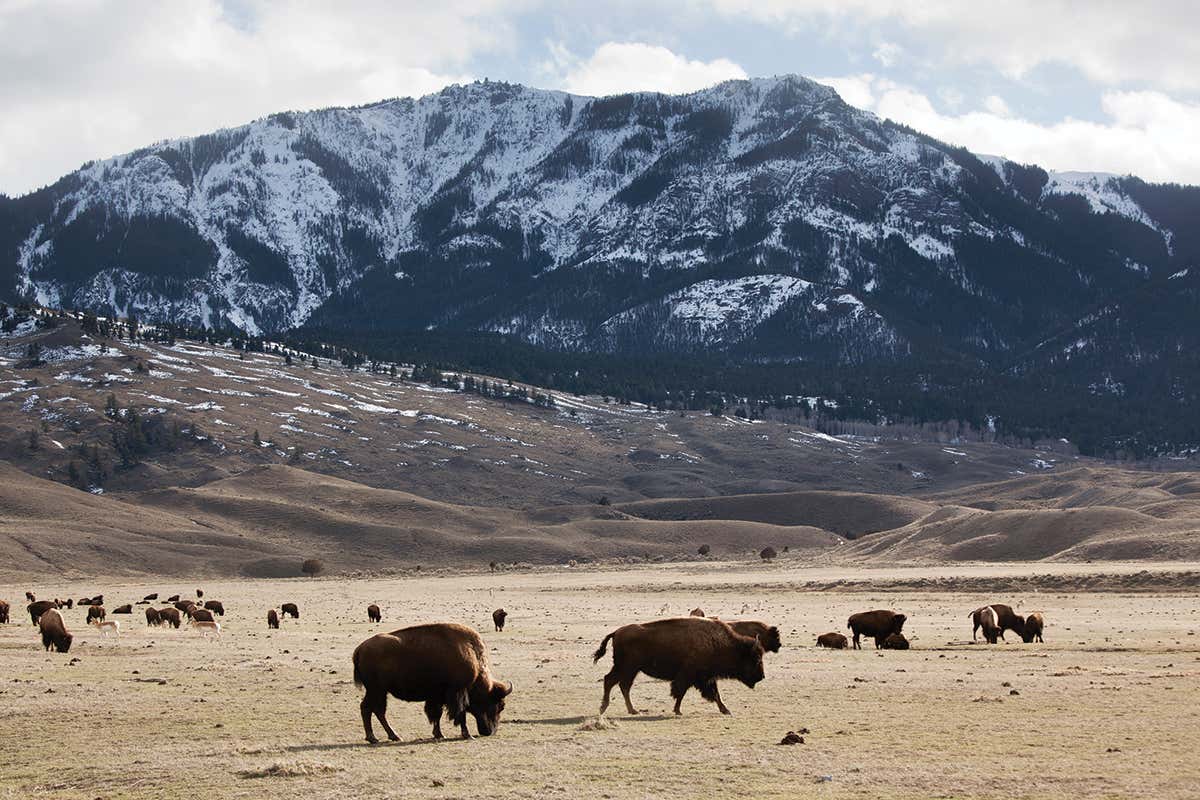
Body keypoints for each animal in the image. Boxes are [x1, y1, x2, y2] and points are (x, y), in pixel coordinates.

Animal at [352, 622, 513, 743]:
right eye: (500, 705)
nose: (490, 731)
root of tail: (360, 649)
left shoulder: (437, 696)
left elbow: (437, 714)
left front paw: (439, 734)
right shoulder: (458, 693)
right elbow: (460, 714)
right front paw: (467, 735)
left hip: (379, 691)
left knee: (376, 710)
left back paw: (390, 736)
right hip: (376, 690)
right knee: (369, 708)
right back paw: (376, 737)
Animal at [594, 617, 766, 716]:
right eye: (756, 658)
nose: (762, 676)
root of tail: (616, 632)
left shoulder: (705, 678)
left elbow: (714, 694)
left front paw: (725, 710)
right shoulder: (690, 676)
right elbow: (682, 692)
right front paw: (678, 711)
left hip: (629, 669)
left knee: (619, 684)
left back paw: (630, 710)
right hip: (627, 668)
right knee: (613, 682)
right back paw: (607, 708)